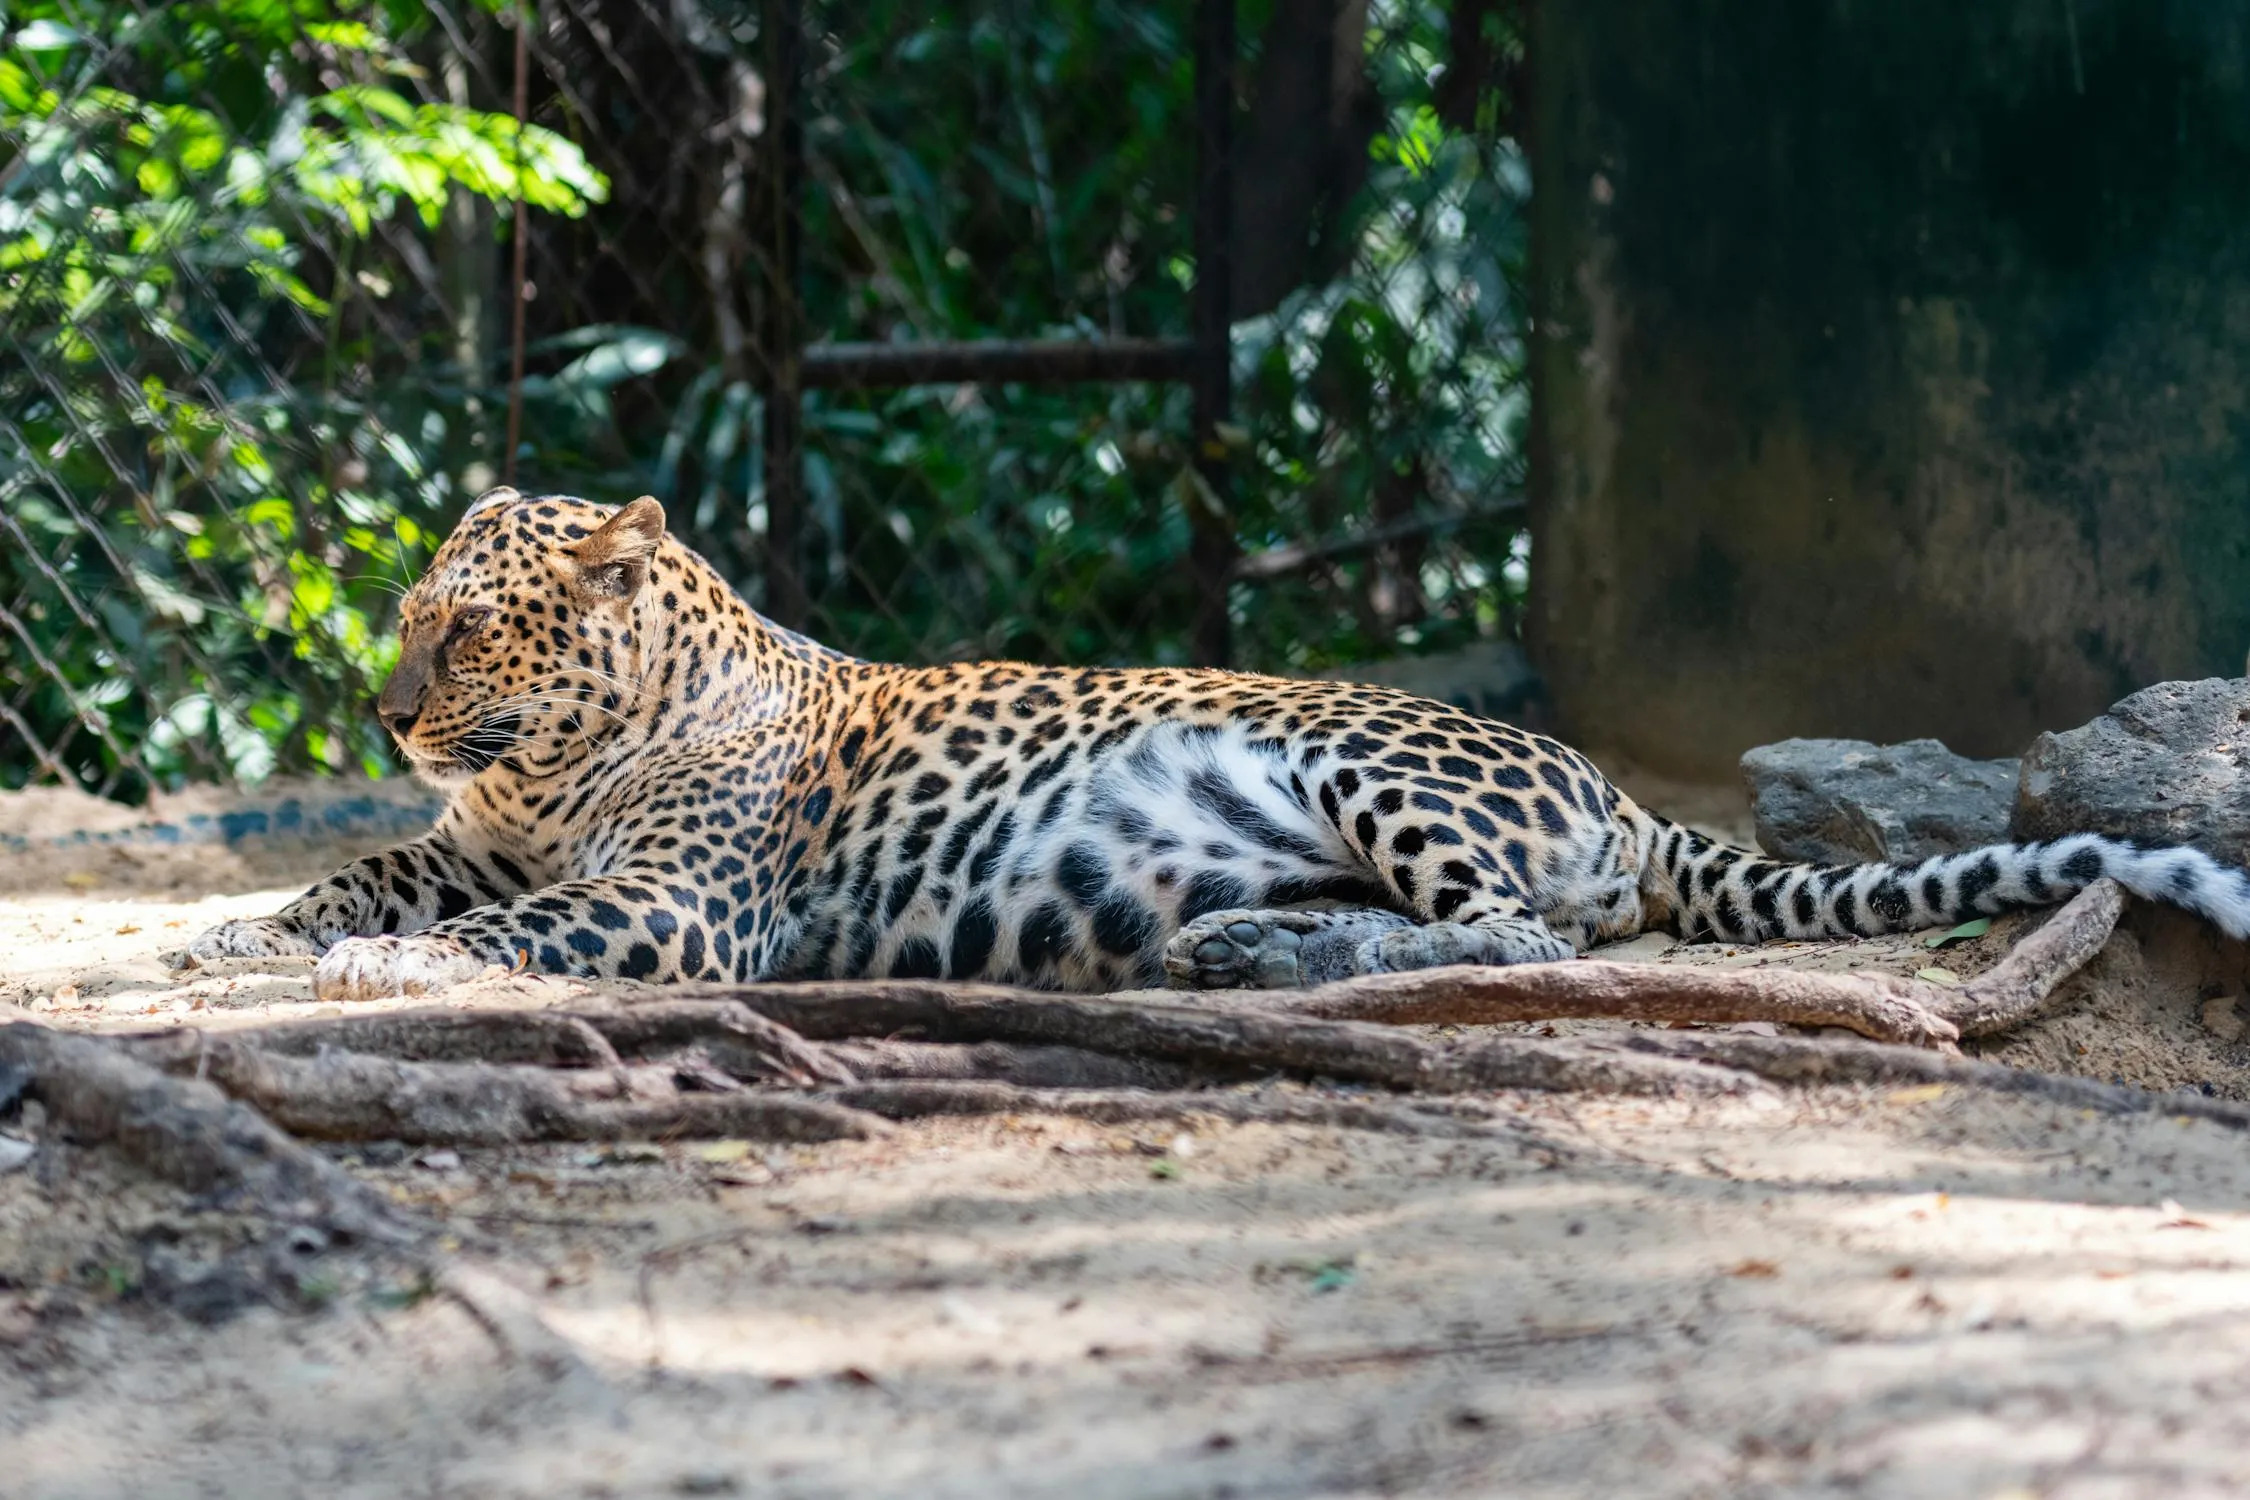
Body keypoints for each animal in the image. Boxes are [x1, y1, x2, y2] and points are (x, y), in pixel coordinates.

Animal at [191, 487, 2250, 1003]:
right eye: (401, 619)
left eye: (461, 627)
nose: (385, 709)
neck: (556, 766)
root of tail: (1612, 790)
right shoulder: (483, 834)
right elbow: (373, 866)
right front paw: (237, 929)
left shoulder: (673, 911)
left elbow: (499, 933)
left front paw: (376, 968)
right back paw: (1250, 940)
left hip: (1366, 764)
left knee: (1519, 936)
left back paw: (1288, 952)